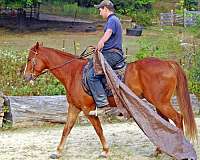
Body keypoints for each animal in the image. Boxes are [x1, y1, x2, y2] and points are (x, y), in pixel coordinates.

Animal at [23, 42, 197, 159]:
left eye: (29, 59)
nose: (25, 77)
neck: (73, 73)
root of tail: (168, 63)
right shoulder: (74, 107)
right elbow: (66, 129)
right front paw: (58, 152)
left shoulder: (87, 109)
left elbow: (98, 129)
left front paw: (105, 151)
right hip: (159, 104)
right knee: (164, 123)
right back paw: (159, 151)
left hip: (161, 103)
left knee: (177, 118)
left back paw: (180, 150)